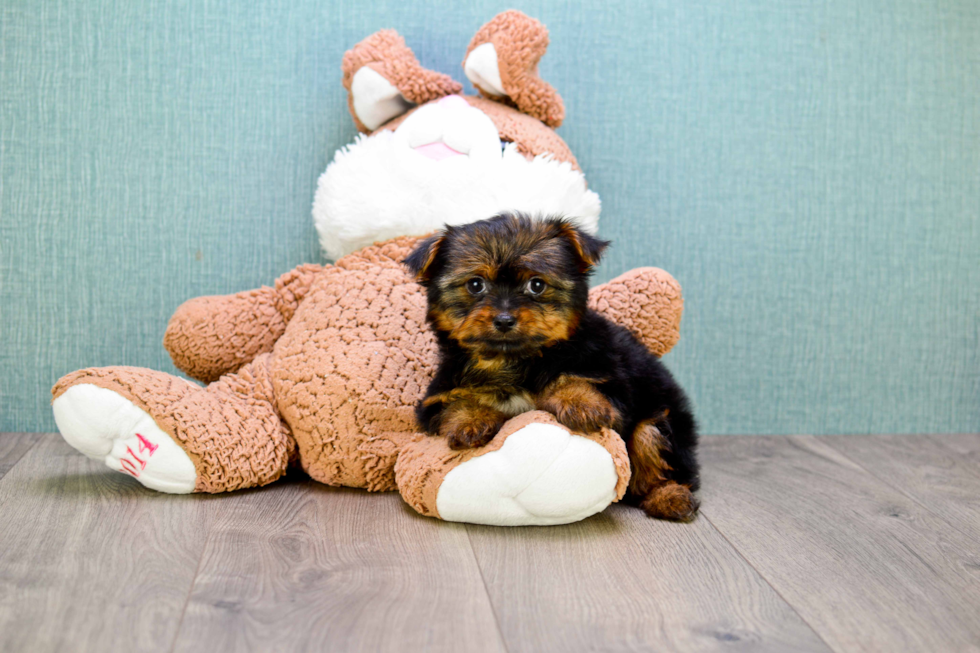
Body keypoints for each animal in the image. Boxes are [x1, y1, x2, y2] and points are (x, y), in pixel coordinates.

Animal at [402, 214, 700, 520]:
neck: (514, 359)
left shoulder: (612, 383)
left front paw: (580, 402)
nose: (504, 319)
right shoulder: (438, 396)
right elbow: (453, 404)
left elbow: (573, 378)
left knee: (649, 438)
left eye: (536, 285)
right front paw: (470, 420)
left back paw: (668, 496)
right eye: (475, 285)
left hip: (666, 422)